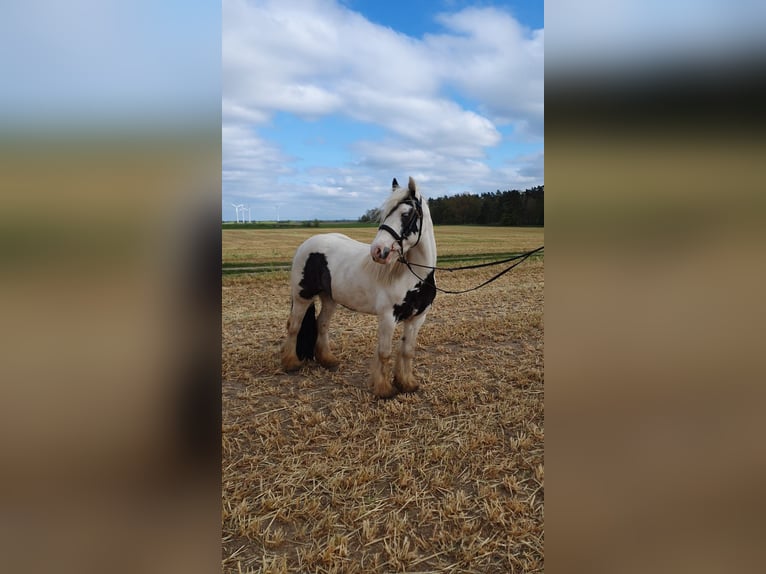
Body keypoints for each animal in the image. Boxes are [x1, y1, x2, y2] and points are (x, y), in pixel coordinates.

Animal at [280, 177, 437, 398]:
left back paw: (327, 360)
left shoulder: (417, 318)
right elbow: (384, 352)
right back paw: (291, 363)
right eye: (385, 214)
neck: (414, 277)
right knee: (294, 326)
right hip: (302, 296)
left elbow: (407, 351)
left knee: (322, 324)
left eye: (406, 215)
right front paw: (384, 389)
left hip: (329, 299)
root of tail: (306, 244)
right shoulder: (388, 317)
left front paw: (407, 384)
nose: (378, 251)